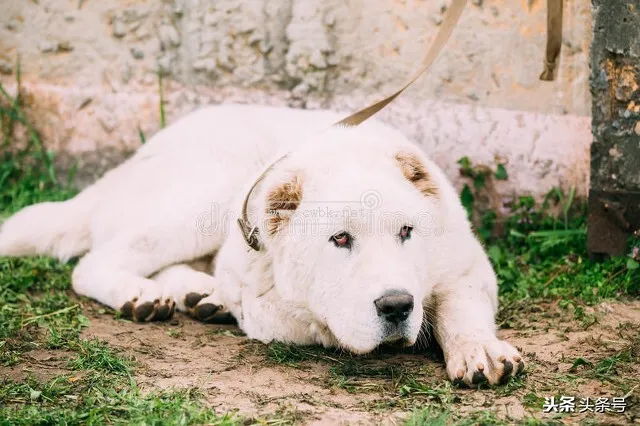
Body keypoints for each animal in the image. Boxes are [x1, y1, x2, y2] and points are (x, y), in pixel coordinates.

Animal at [0, 104, 524, 386]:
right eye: (340, 239)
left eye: (407, 233)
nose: (397, 306)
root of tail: (129, 162)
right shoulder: (267, 300)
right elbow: (310, 316)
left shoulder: (465, 266)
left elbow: (461, 310)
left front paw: (479, 350)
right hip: (204, 195)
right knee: (94, 262)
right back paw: (142, 295)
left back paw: (199, 294)